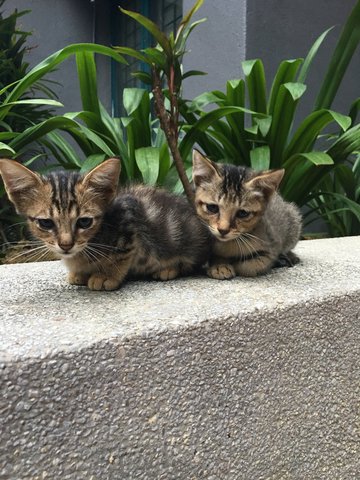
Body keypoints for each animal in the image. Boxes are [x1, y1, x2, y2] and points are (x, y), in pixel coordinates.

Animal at [0, 159, 211, 290]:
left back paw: (167, 269)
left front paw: (106, 276)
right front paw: (79, 273)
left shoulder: (129, 221)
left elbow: (120, 256)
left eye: (84, 221)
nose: (66, 245)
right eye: (46, 223)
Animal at [191, 148, 300, 280]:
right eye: (212, 208)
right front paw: (220, 265)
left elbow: (249, 266)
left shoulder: (272, 247)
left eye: (242, 213)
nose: (223, 230)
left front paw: (232, 264)